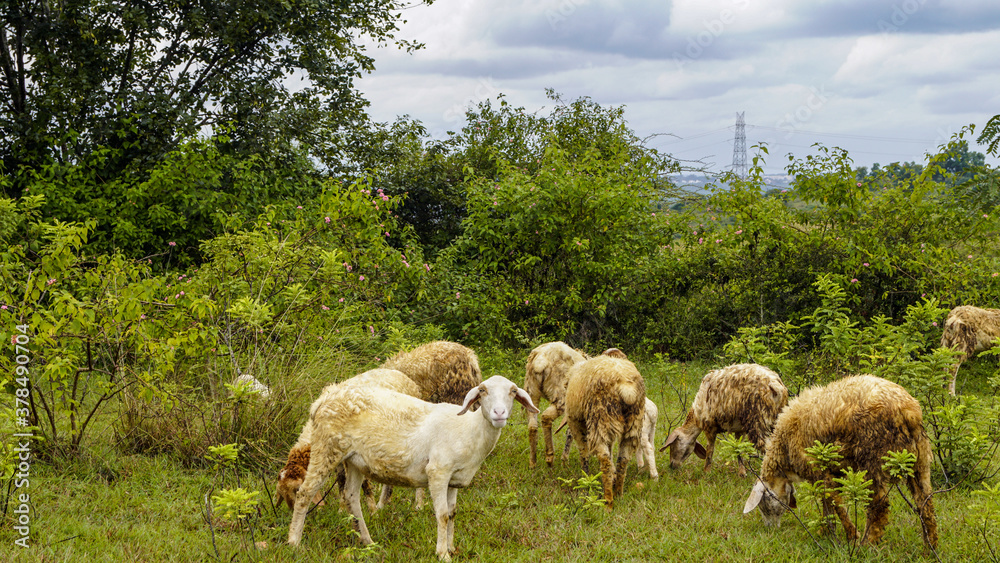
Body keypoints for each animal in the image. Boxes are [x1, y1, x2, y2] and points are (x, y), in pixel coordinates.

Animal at [288, 376, 540, 560]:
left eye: (513, 391)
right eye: (483, 390)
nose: (499, 413)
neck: (470, 430)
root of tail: (321, 401)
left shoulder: (454, 479)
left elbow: (453, 513)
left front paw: (451, 548)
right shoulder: (438, 471)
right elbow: (442, 515)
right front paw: (442, 554)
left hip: (354, 459)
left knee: (351, 496)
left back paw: (367, 541)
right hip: (327, 446)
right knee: (305, 493)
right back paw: (294, 542)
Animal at [524, 342, 584, 470]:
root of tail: (541, 361)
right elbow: (571, 432)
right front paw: (565, 461)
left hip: (531, 390)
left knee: (532, 425)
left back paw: (532, 463)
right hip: (560, 394)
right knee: (546, 417)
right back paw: (549, 458)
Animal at [564, 354, 648, 508]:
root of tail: (626, 388)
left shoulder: (575, 423)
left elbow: (583, 453)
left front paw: (585, 481)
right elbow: (609, 449)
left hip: (599, 416)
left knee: (605, 460)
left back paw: (608, 501)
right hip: (633, 422)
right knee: (623, 459)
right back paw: (619, 493)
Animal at [660, 366, 792, 476]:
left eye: (672, 445)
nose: (672, 466)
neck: (696, 415)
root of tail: (776, 386)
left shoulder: (710, 426)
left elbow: (710, 450)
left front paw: (706, 472)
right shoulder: (739, 430)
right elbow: (738, 449)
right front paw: (742, 473)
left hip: (759, 419)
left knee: (767, 447)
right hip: (777, 419)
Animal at [744, 374, 936, 552]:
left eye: (763, 505)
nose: (770, 529)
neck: (783, 450)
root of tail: (908, 410)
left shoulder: (817, 469)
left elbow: (835, 502)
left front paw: (851, 535)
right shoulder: (832, 472)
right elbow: (827, 504)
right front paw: (825, 532)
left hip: (873, 456)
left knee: (879, 506)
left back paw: (865, 545)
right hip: (919, 457)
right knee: (925, 502)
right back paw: (929, 547)